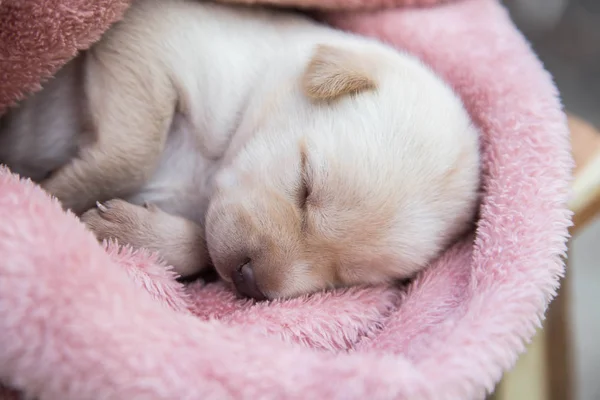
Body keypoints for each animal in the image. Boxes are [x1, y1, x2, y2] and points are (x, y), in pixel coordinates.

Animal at [0, 0, 480, 300]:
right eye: (305, 186)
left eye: (345, 277)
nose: (249, 281)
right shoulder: (149, 37)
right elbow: (131, 154)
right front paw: (51, 193)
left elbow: (202, 247)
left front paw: (126, 229)